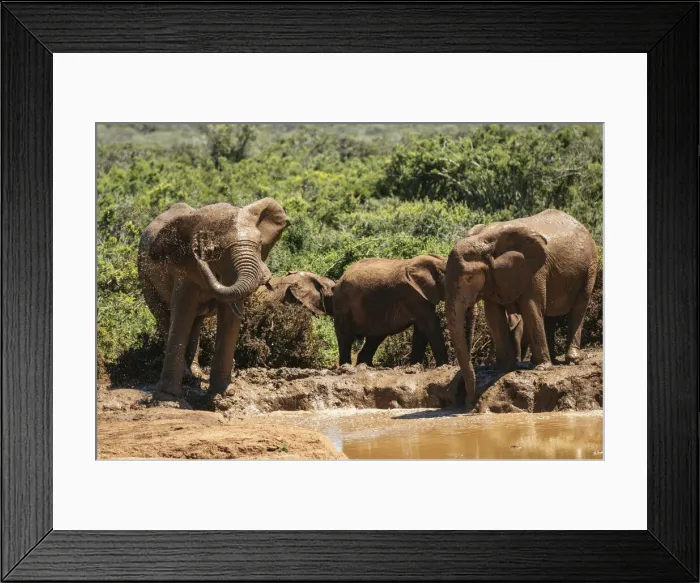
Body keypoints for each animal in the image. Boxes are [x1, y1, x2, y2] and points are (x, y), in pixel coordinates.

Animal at [138, 198, 289, 399]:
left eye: (259, 243)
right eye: (215, 251)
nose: (198, 247)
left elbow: (229, 320)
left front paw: (224, 393)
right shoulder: (184, 271)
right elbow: (182, 315)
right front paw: (168, 396)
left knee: (196, 322)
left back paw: (196, 373)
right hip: (144, 273)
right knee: (164, 317)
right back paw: (187, 376)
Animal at [445, 209, 598, 406]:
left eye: (469, 278)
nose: (468, 401)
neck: (484, 239)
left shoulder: (533, 270)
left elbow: (531, 308)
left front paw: (542, 369)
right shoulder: (494, 280)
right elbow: (493, 316)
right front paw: (502, 369)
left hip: (590, 265)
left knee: (578, 306)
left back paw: (570, 360)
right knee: (549, 314)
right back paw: (545, 359)